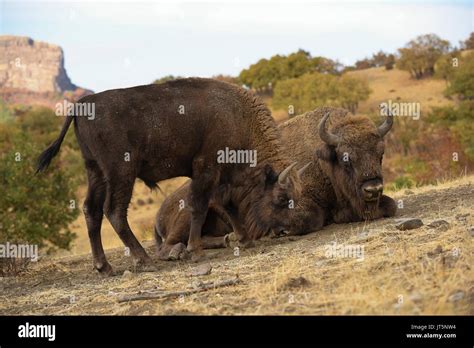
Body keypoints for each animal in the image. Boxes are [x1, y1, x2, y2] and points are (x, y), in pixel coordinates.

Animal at [36, 77, 304, 274]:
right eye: (282, 198)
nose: (287, 229)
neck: (238, 117)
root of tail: (81, 105)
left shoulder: (219, 177)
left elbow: (226, 204)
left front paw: (245, 240)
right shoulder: (205, 170)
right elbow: (199, 207)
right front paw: (196, 251)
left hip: (95, 172)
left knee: (91, 210)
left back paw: (105, 268)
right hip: (121, 172)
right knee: (114, 211)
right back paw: (145, 261)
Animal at [155, 106, 396, 256]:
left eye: (381, 154)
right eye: (346, 158)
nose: (373, 188)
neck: (323, 160)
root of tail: (160, 211)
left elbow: (392, 205)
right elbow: (310, 218)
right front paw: (279, 231)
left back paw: (227, 238)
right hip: (187, 214)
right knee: (171, 244)